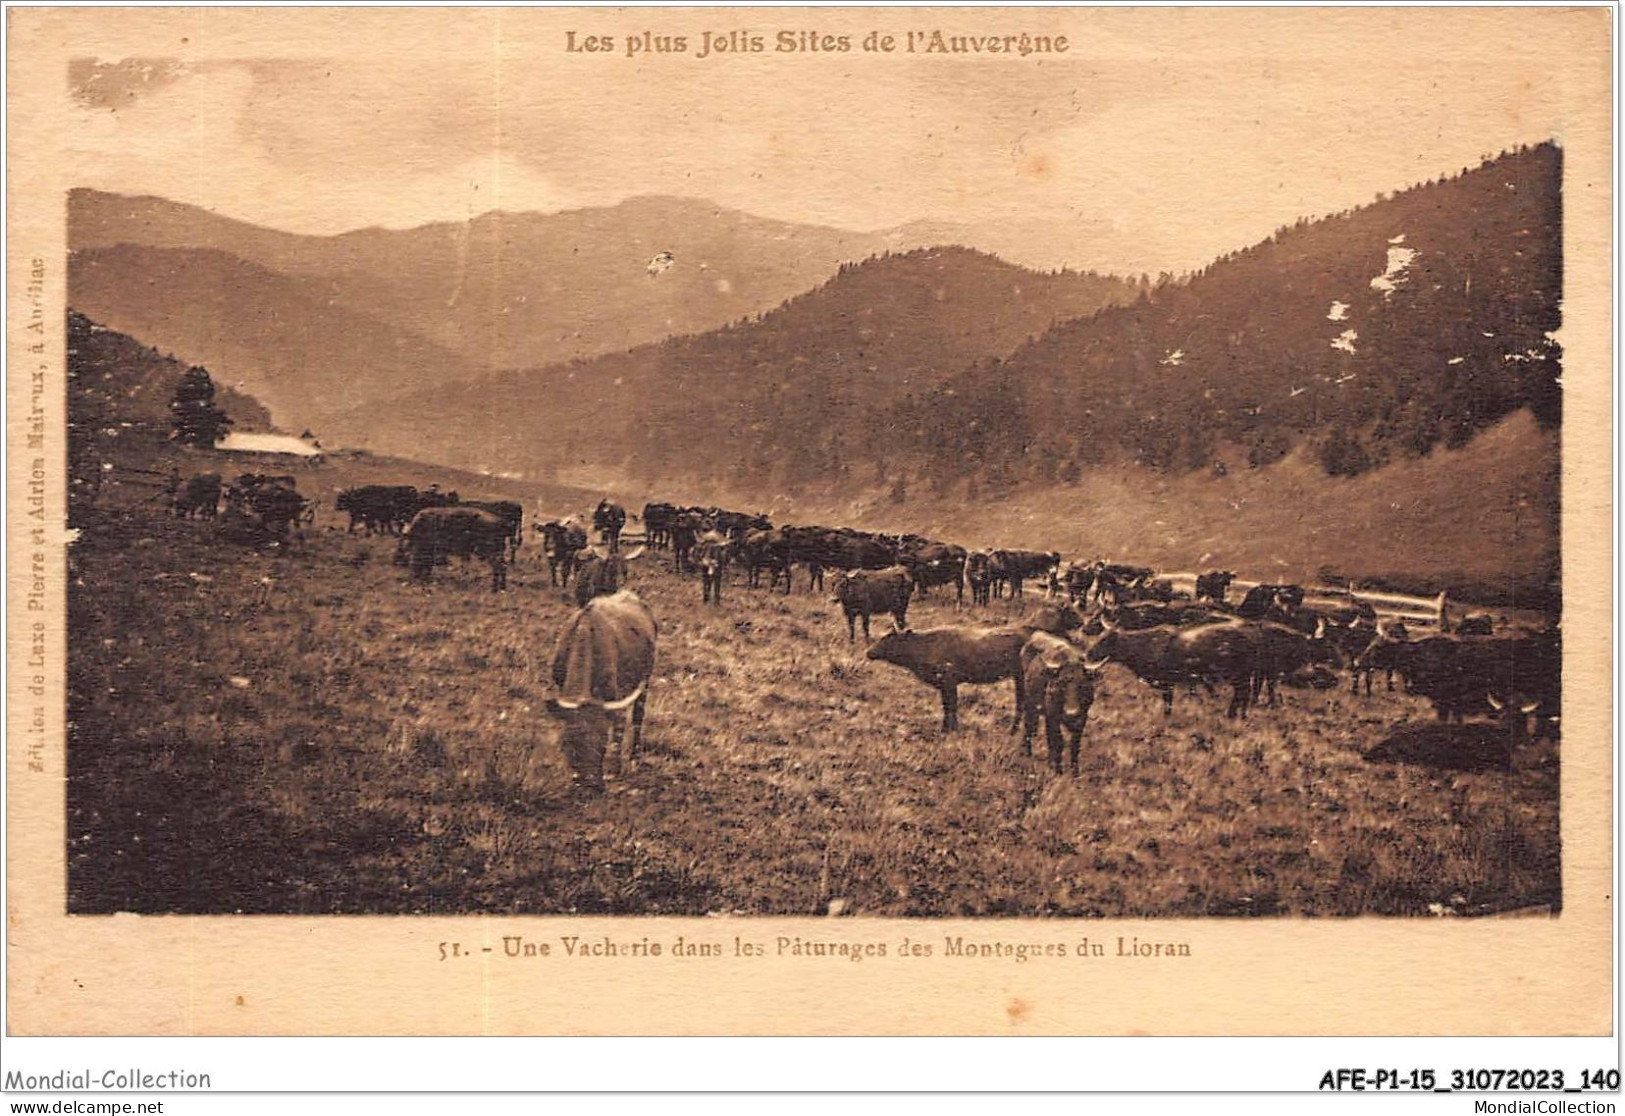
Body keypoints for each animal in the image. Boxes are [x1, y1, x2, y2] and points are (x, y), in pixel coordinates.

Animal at [546, 588, 659, 789]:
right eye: (569, 743)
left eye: (602, 741)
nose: (591, 783)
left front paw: (613, 769)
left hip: (645, 681)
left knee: (636, 718)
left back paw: (633, 758)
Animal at [1014, 630, 1105, 776]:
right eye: (1061, 683)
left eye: (1083, 684)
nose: (1071, 713)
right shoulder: (1053, 716)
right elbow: (1058, 742)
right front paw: (1058, 771)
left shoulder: (1082, 718)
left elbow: (1074, 745)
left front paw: (1075, 773)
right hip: (1029, 702)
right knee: (1029, 726)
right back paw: (1028, 753)